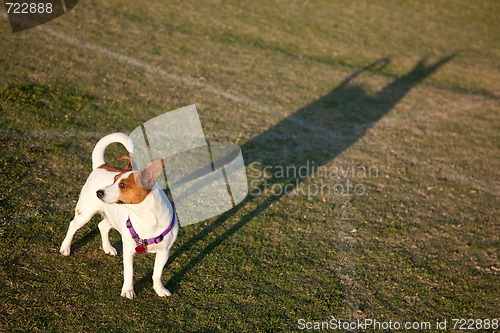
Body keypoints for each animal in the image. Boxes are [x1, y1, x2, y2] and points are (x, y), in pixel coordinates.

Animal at [59, 132, 179, 298]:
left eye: (123, 185)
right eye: (114, 180)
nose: (99, 192)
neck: (146, 218)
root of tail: (101, 166)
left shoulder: (164, 252)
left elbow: (157, 273)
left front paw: (159, 289)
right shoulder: (128, 251)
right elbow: (129, 273)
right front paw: (128, 290)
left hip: (111, 217)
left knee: (101, 226)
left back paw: (107, 247)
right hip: (85, 213)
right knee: (73, 226)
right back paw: (65, 248)